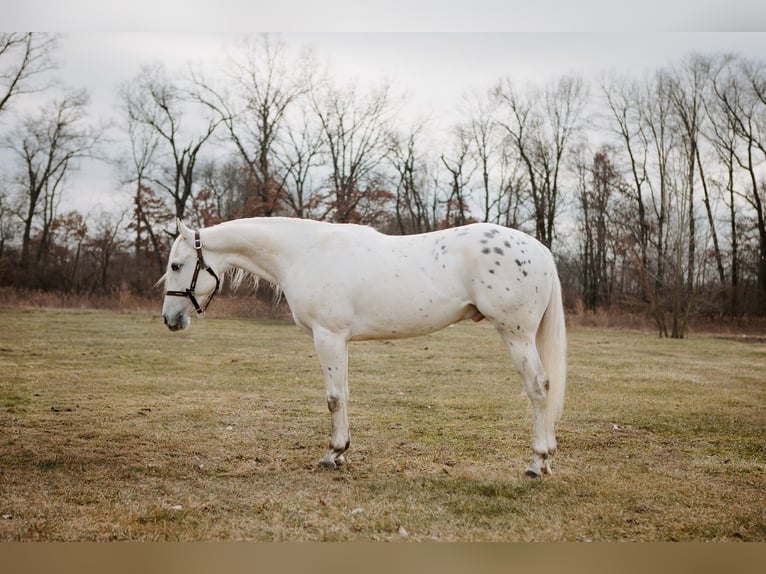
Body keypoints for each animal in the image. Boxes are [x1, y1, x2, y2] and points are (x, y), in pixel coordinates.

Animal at [161, 217, 567, 477]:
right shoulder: (339, 341)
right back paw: (546, 460)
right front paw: (341, 452)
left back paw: (537, 462)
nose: (170, 319)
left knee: (538, 388)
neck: (305, 253)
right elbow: (344, 394)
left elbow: (334, 398)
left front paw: (333, 453)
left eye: (177, 265)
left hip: (516, 335)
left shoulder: (328, 336)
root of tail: (539, 250)